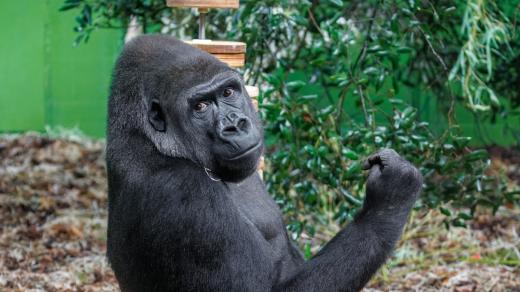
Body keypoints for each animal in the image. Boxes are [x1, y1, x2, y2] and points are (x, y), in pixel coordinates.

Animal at [105, 34, 422, 292]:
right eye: (200, 107)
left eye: (228, 92)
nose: (235, 125)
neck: (150, 141)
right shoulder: (183, 194)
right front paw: (389, 199)